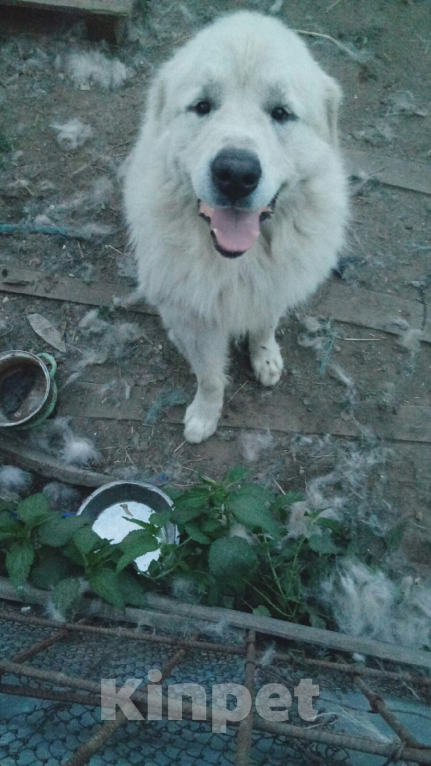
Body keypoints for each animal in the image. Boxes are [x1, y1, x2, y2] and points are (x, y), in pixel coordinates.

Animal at [124, 10, 348, 444]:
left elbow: (265, 324)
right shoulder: (193, 319)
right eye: (202, 106)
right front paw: (204, 415)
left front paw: (265, 356)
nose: (235, 174)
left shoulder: (273, 286)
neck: (236, 262)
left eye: (281, 113)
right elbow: (210, 377)